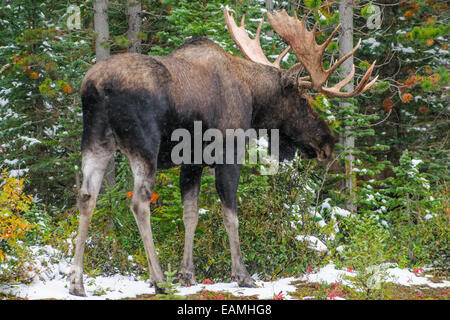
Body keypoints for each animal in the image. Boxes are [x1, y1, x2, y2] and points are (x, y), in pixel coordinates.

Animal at [69, 8, 376, 298]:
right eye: (302, 99)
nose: (327, 143)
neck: (253, 101)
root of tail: (96, 87)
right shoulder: (229, 153)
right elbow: (230, 214)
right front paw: (242, 274)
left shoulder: (191, 162)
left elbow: (190, 214)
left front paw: (187, 274)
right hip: (144, 146)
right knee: (139, 203)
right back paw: (158, 280)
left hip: (95, 142)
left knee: (86, 197)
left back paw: (76, 282)